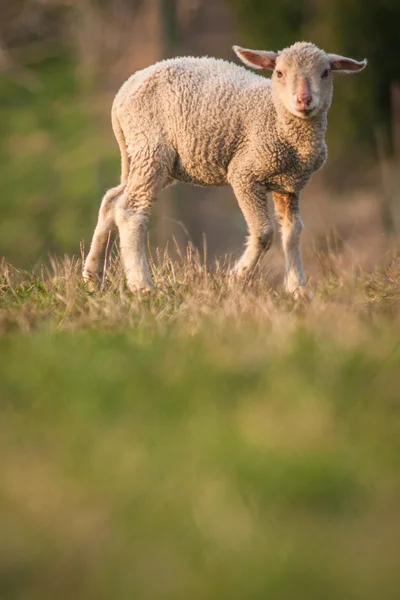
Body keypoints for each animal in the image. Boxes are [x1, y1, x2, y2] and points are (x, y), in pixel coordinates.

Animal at [83, 41, 368, 298]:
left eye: (326, 72)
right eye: (279, 73)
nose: (304, 100)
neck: (278, 119)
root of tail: (125, 90)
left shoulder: (289, 185)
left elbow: (292, 233)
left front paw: (298, 290)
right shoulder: (245, 173)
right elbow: (263, 232)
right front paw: (236, 279)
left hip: (147, 157)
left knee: (112, 200)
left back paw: (93, 278)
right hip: (150, 147)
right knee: (130, 210)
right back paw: (142, 286)